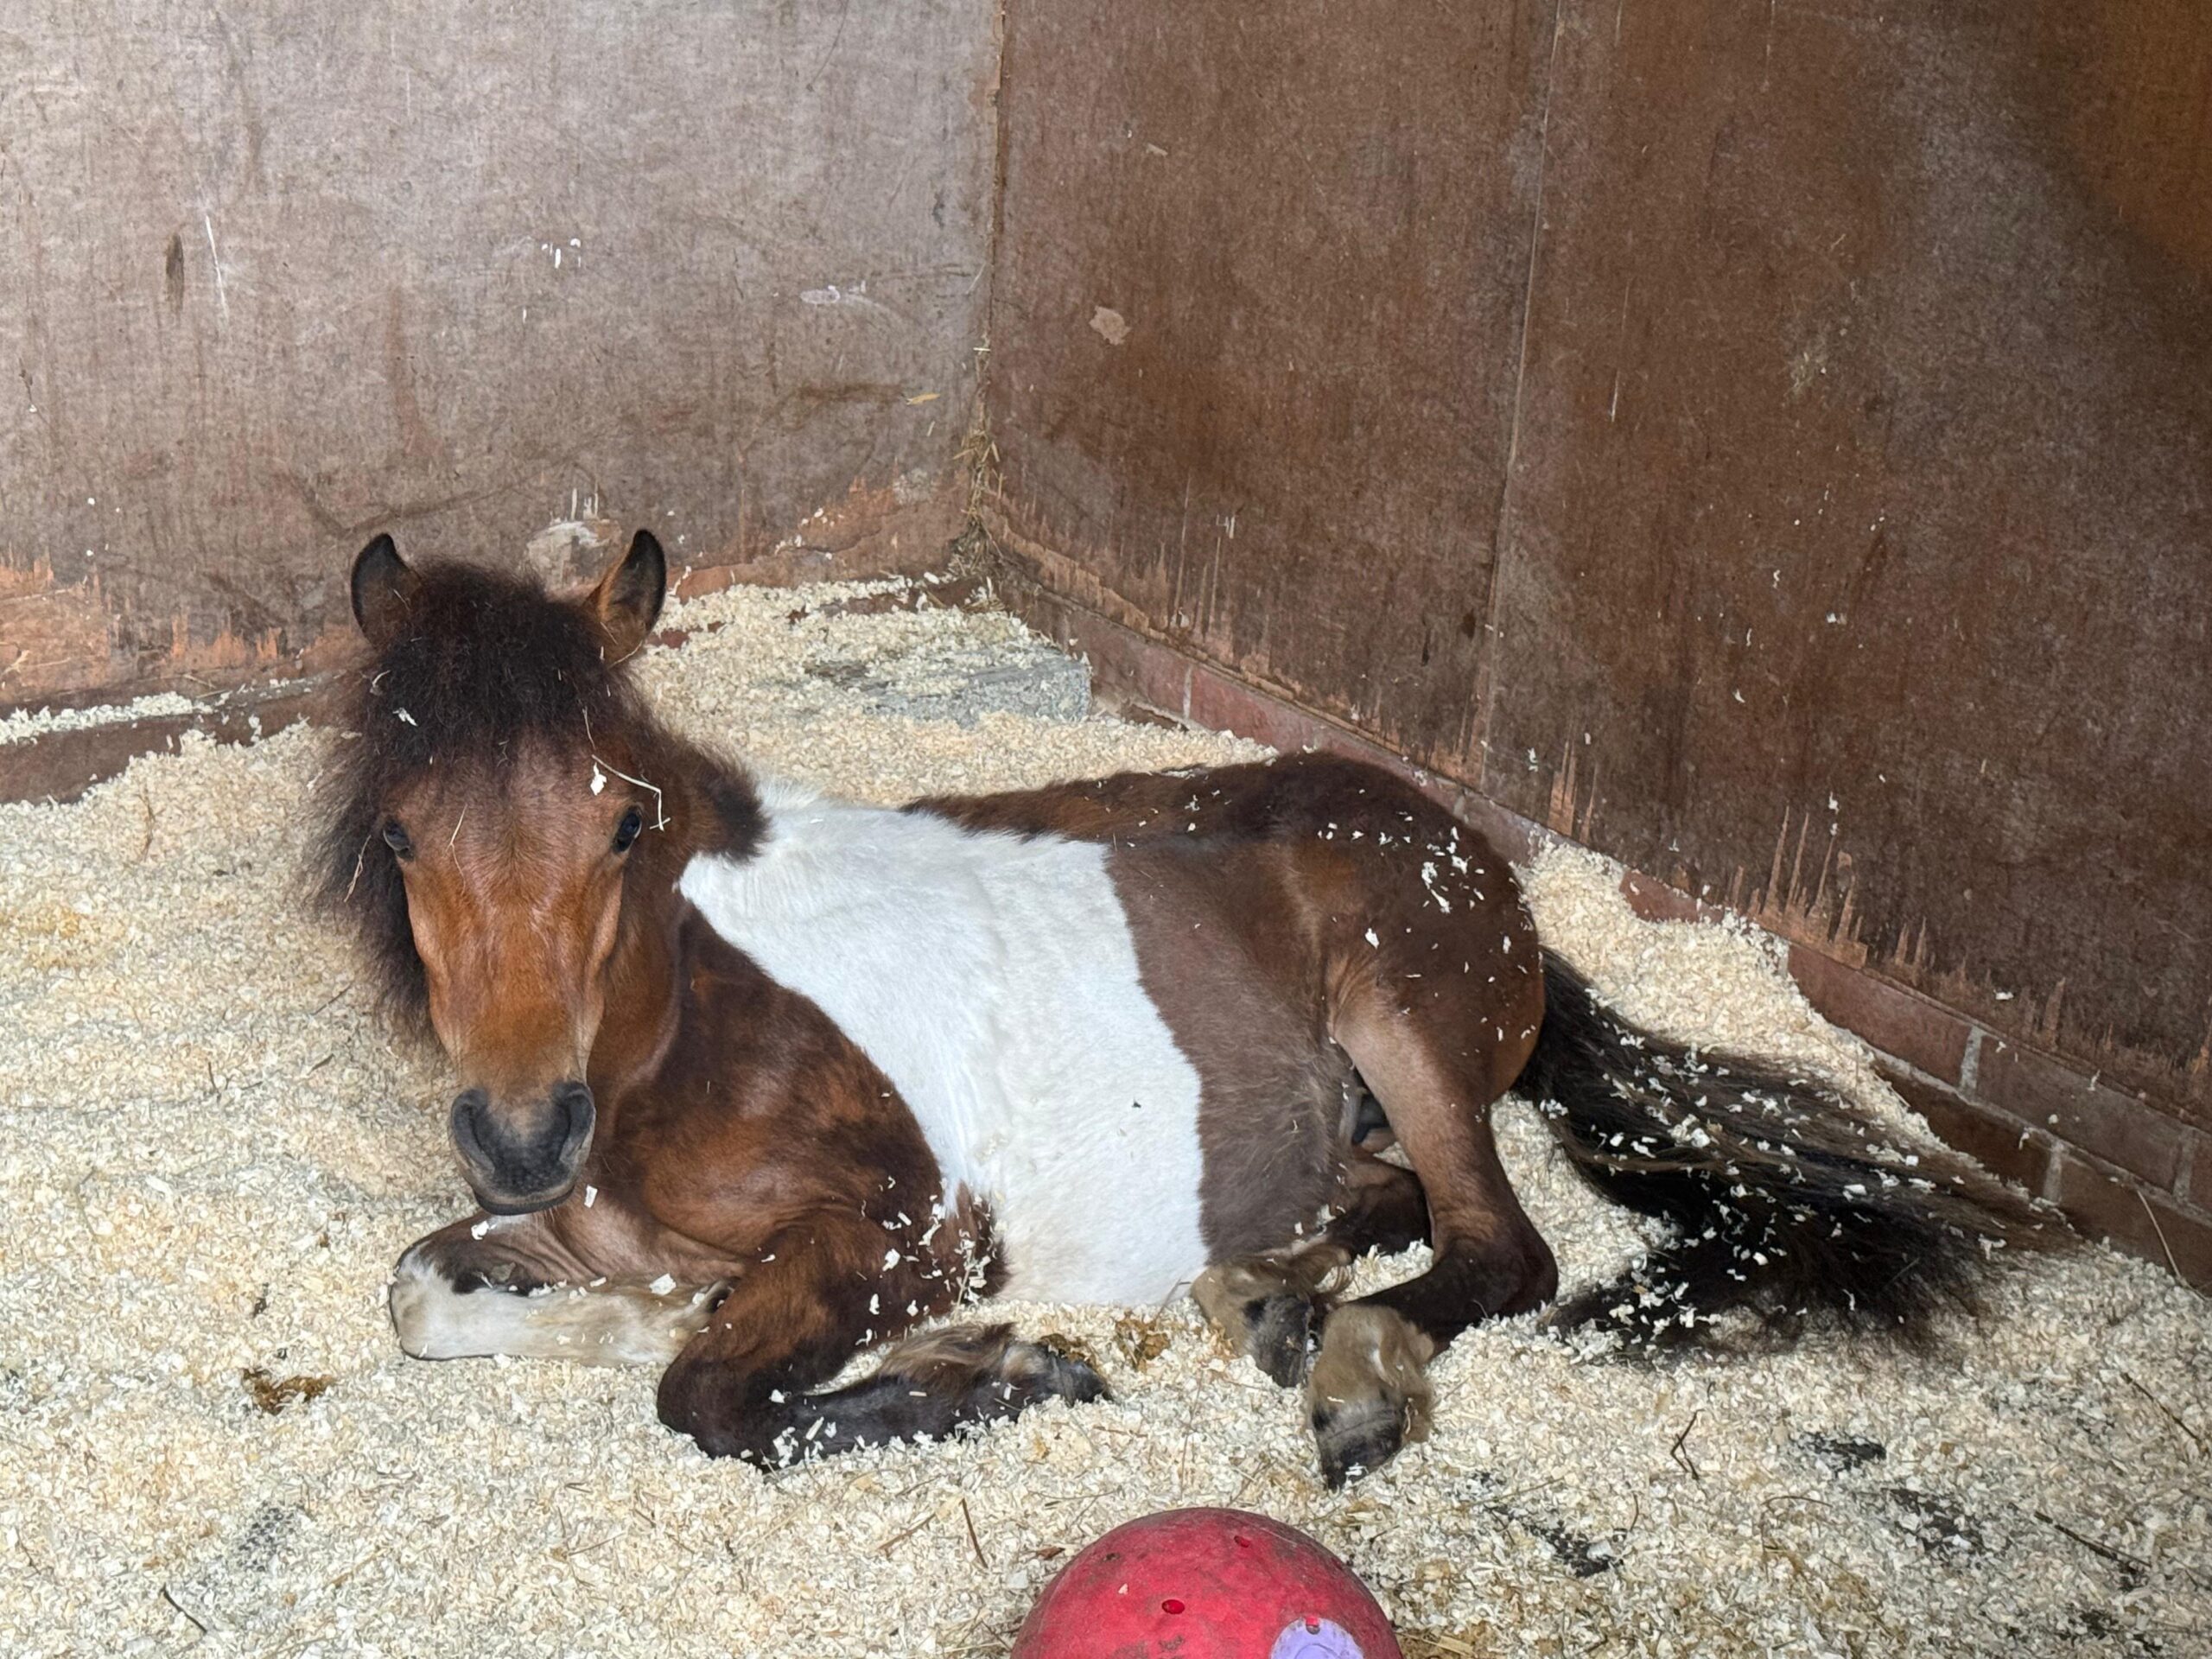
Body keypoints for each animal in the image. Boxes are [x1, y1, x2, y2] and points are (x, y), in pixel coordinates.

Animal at [317, 529, 2049, 1485]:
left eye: (624, 825)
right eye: (399, 835)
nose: (523, 1136)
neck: (690, 1025)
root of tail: (1492, 875)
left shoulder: (919, 1231)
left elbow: (711, 1401)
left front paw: (1007, 1375)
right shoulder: (574, 1223)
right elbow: (422, 1292)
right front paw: (624, 1314)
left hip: (1399, 1014)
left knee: (1502, 1246)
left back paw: (1352, 1374)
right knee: (1384, 1198)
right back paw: (1273, 1296)